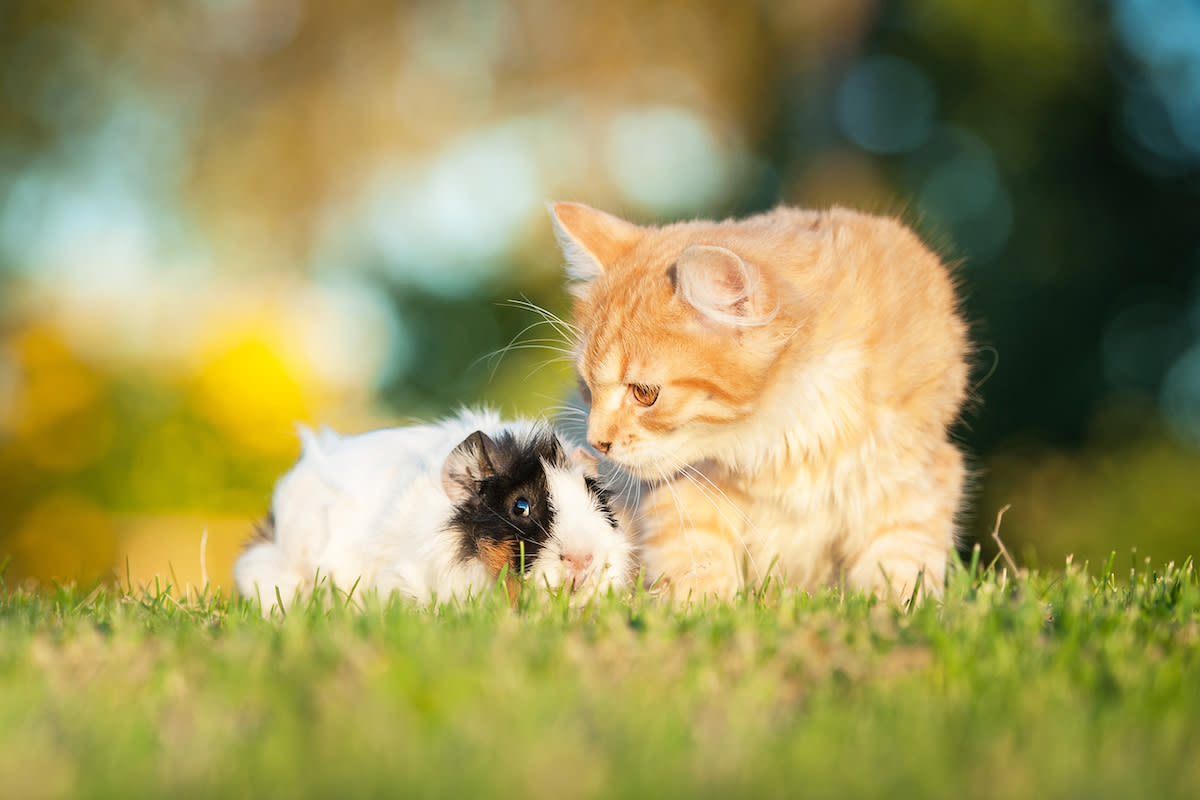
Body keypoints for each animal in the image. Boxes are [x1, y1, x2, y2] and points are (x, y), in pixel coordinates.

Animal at [549, 203, 969, 604]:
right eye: (587, 388)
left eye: (644, 394)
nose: (597, 443)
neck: (790, 435)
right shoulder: (687, 497)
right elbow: (697, 563)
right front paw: (703, 609)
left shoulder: (911, 483)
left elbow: (899, 568)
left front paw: (892, 612)